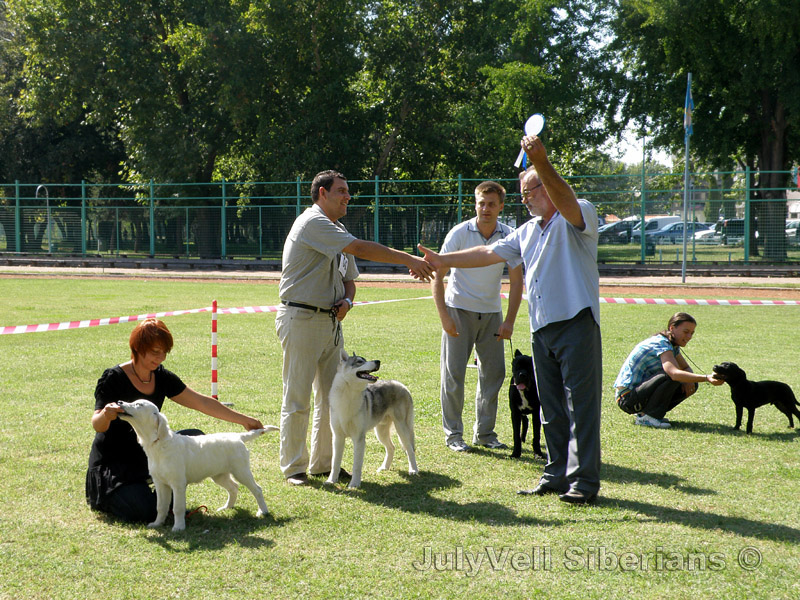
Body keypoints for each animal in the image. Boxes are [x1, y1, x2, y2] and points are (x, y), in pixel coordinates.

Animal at [115, 400, 278, 532]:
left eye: (138, 404)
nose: (119, 402)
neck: (159, 444)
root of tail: (238, 436)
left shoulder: (178, 484)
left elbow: (177, 507)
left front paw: (178, 527)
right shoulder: (160, 483)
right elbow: (160, 506)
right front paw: (157, 524)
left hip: (241, 470)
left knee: (257, 489)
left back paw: (262, 512)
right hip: (219, 474)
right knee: (233, 487)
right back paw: (227, 507)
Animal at [328, 352, 422, 488]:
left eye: (365, 360)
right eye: (359, 361)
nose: (378, 361)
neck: (349, 396)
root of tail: (401, 385)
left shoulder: (359, 439)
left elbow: (357, 465)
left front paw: (354, 484)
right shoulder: (337, 437)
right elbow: (335, 463)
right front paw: (331, 481)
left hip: (401, 429)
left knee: (409, 449)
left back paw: (413, 470)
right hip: (381, 432)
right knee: (391, 447)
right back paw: (384, 467)